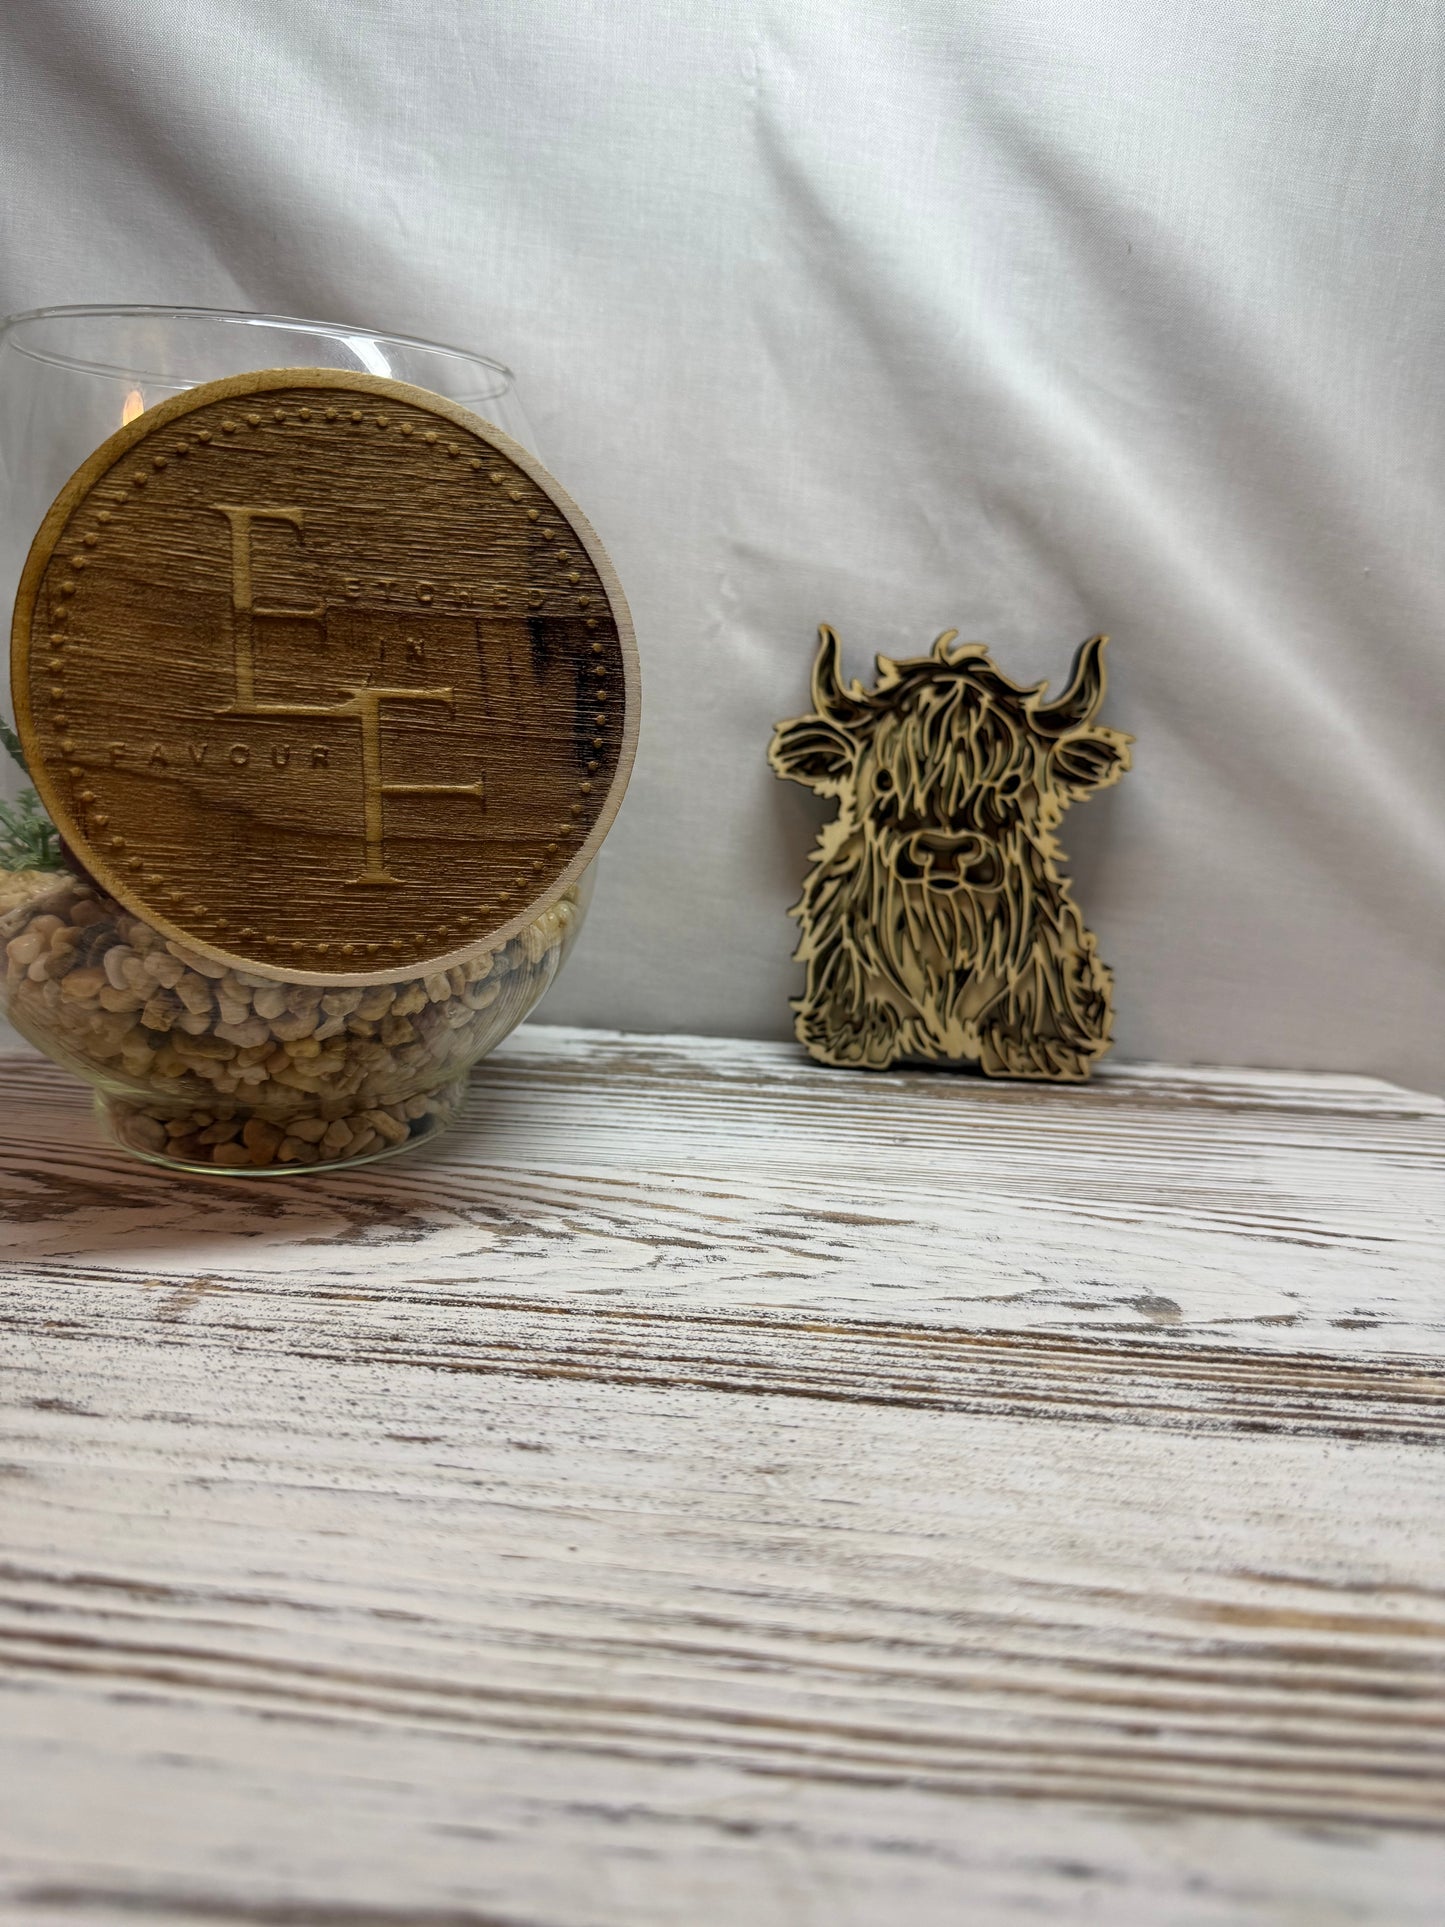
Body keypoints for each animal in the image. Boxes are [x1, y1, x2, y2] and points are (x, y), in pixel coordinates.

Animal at [768, 626, 1131, 1079]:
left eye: (1011, 784)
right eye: (884, 779)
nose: (945, 851)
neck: (946, 929)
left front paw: (1037, 1052)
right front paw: (853, 1037)